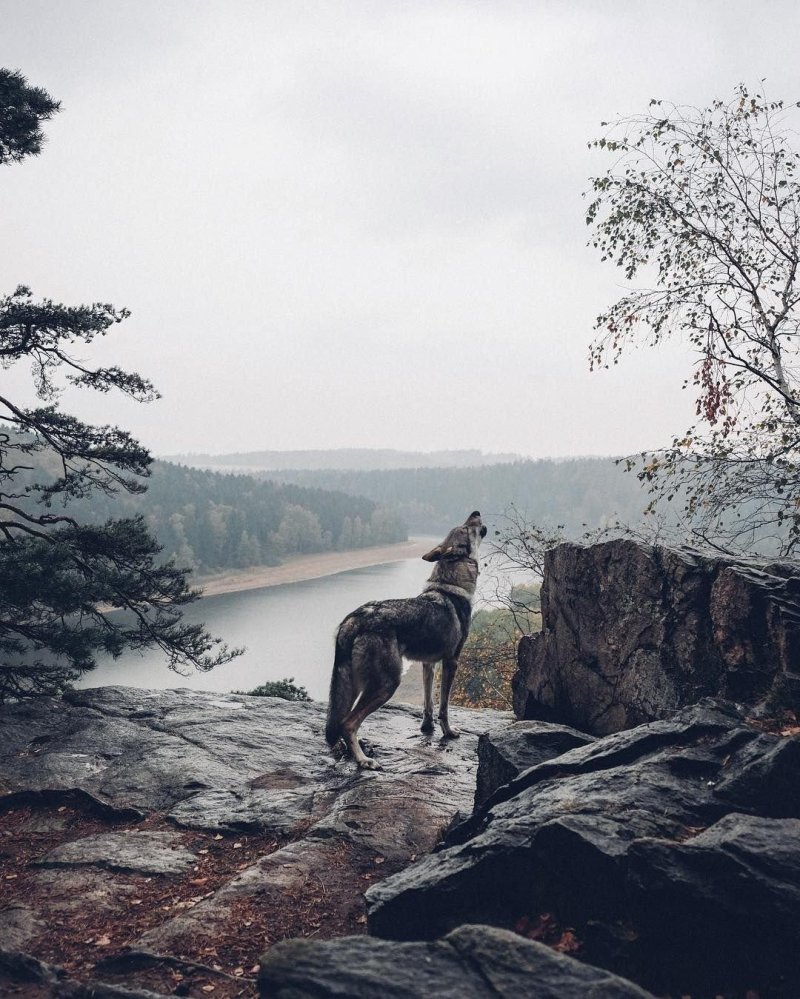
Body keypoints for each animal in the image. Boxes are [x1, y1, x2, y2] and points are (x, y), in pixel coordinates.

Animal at [324, 512, 488, 768]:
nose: (476, 512)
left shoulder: (428, 663)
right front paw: (448, 732)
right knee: (347, 723)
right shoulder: (451, 662)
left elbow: (428, 704)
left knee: (338, 721)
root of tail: (354, 619)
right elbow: (444, 707)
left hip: (353, 686)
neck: (452, 587)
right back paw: (364, 761)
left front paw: (427, 729)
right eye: (466, 527)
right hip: (388, 685)